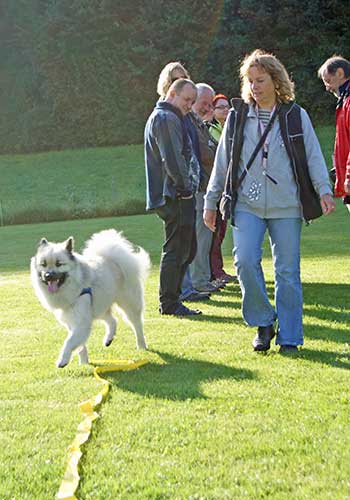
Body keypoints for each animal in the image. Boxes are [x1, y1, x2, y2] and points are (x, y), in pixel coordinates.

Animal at [30, 230, 149, 368]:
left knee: (137, 325)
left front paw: (63, 360)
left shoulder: (81, 322)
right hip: (99, 306)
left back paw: (141, 345)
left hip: (129, 305)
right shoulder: (73, 322)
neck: (74, 285)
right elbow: (80, 346)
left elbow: (69, 342)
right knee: (112, 320)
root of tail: (114, 259)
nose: (48, 275)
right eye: (43, 264)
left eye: (59, 264)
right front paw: (84, 362)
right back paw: (108, 339)